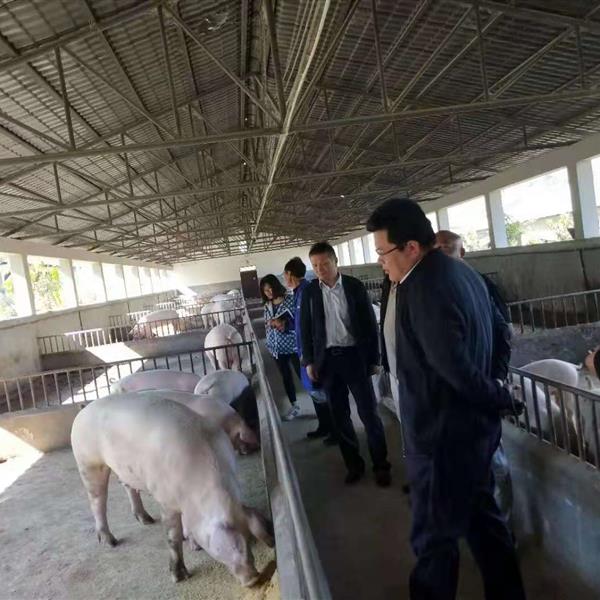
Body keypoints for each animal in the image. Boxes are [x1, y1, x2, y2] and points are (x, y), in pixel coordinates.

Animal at [71, 394, 273, 586]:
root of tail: (84, 409)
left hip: (124, 469)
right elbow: (172, 536)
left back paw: (146, 520)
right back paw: (110, 542)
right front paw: (179, 577)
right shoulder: (166, 500)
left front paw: (193, 545)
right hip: (88, 462)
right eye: (225, 547)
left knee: (128, 487)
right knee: (97, 501)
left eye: (251, 541)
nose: (254, 579)